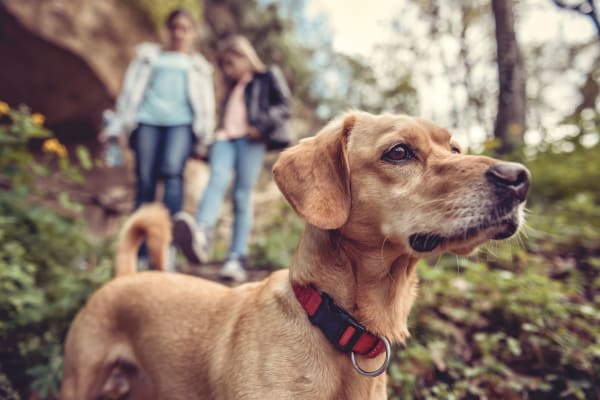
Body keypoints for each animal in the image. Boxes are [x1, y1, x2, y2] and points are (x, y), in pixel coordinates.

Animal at [59, 111, 528, 400]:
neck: (336, 323)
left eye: (455, 149)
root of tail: (125, 276)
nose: (519, 177)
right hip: (79, 380)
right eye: (399, 152)